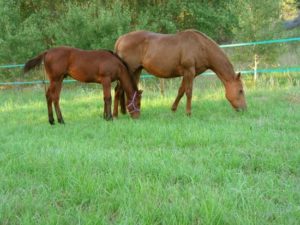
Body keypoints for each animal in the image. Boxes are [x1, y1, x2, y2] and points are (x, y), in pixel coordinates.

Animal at [113, 29, 247, 116]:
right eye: (241, 91)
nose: (244, 109)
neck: (201, 46)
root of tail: (121, 39)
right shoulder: (189, 71)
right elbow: (188, 92)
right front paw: (188, 113)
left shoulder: (189, 74)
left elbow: (181, 91)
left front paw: (173, 108)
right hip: (130, 70)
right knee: (118, 90)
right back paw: (115, 114)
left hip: (136, 71)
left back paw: (125, 112)